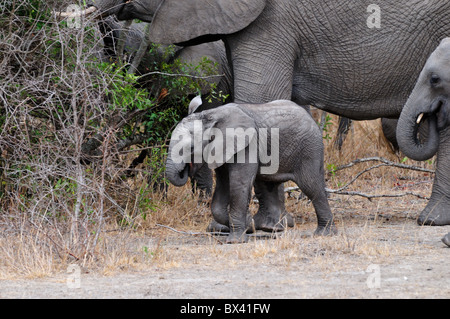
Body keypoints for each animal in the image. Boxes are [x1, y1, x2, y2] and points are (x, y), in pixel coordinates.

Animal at [165, 99, 334, 244]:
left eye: (191, 148)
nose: (185, 169)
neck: (210, 116)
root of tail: (310, 117)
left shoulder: (247, 145)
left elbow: (238, 184)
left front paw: (236, 240)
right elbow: (222, 189)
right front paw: (249, 226)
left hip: (308, 149)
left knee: (311, 186)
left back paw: (323, 233)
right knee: (268, 184)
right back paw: (270, 228)